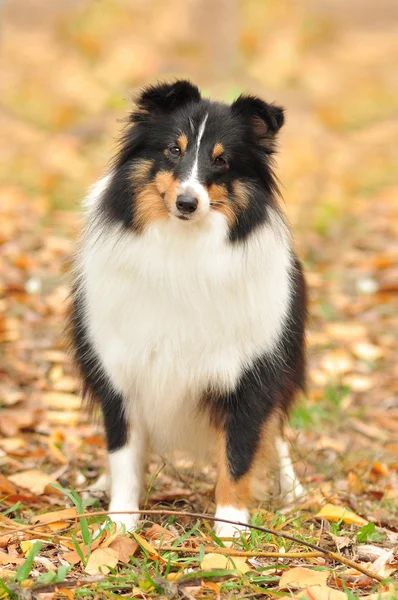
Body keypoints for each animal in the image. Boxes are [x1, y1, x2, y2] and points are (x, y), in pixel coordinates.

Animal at [70, 79, 308, 540]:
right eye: (172, 150)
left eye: (222, 160)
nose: (186, 203)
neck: (182, 250)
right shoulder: (119, 368)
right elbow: (124, 452)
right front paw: (121, 522)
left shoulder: (249, 370)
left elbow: (239, 453)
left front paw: (231, 529)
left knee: (276, 431)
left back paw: (291, 489)